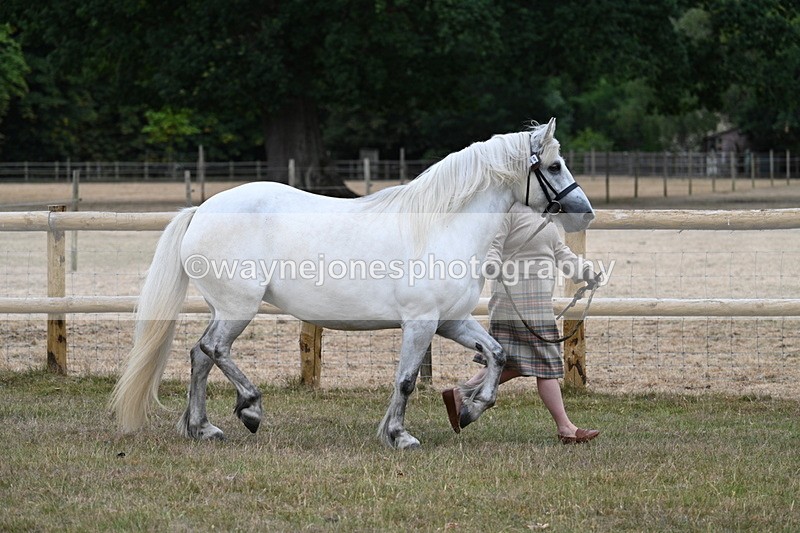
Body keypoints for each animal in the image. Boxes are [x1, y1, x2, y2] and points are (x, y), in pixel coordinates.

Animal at [109, 118, 595, 449]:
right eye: (554, 165)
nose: (584, 212)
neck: (441, 225)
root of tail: (201, 211)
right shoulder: (420, 323)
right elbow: (405, 380)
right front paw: (400, 436)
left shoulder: (450, 321)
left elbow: (497, 353)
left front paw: (471, 409)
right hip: (237, 308)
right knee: (213, 349)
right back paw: (250, 408)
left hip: (225, 309)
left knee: (199, 355)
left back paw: (203, 428)